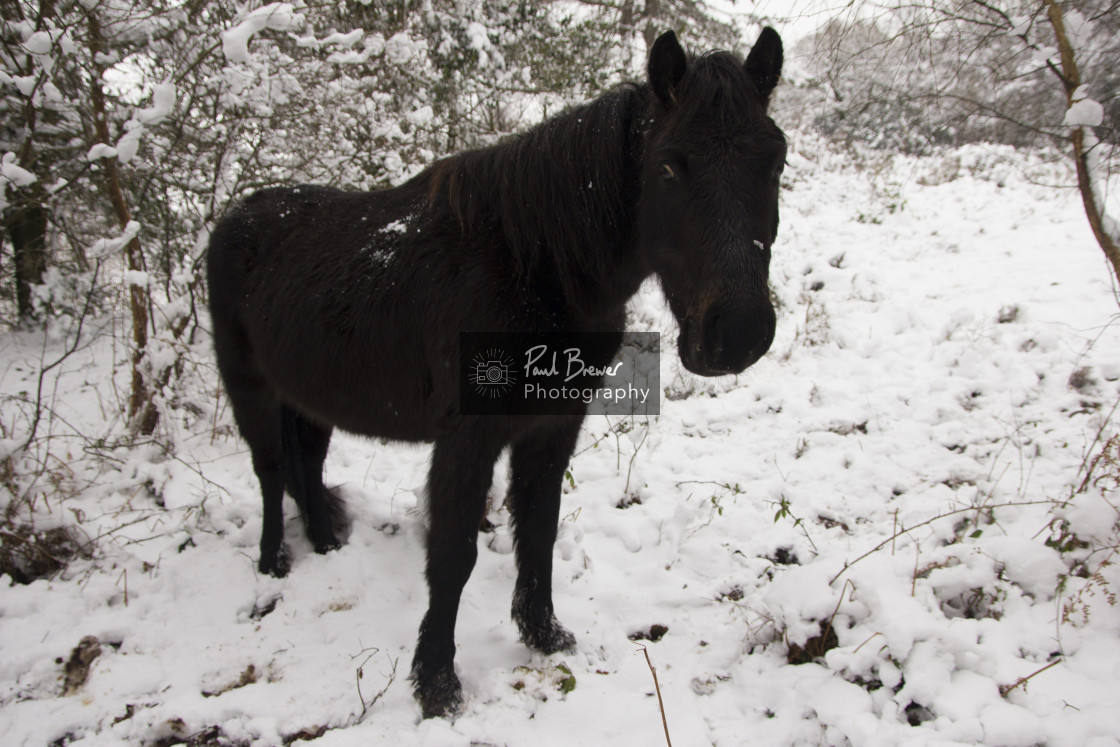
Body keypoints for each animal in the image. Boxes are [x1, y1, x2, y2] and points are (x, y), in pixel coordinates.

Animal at [210, 29, 788, 716]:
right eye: (670, 166)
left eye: (777, 161)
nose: (739, 334)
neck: (533, 261)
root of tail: (234, 220)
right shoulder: (468, 440)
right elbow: (453, 554)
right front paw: (437, 684)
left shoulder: (552, 426)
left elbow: (537, 529)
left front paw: (544, 635)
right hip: (251, 392)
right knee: (272, 472)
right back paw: (273, 563)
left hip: (309, 399)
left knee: (307, 467)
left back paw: (326, 547)